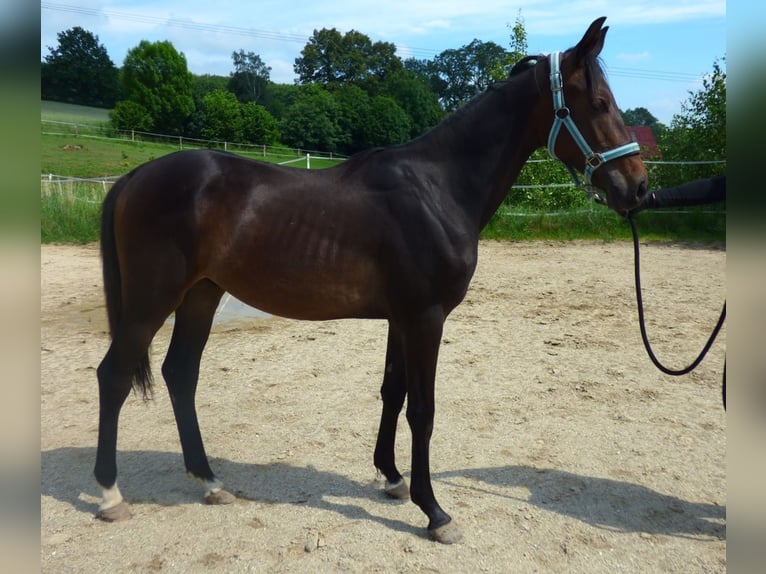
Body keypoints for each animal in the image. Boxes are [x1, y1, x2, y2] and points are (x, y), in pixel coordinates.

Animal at [94, 18, 648, 548]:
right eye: (599, 103)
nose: (638, 187)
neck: (437, 188)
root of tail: (135, 176)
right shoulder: (425, 318)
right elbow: (422, 409)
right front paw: (435, 512)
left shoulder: (401, 319)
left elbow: (392, 393)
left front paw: (392, 478)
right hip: (151, 301)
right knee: (114, 376)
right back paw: (110, 495)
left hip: (201, 296)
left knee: (180, 374)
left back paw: (209, 482)